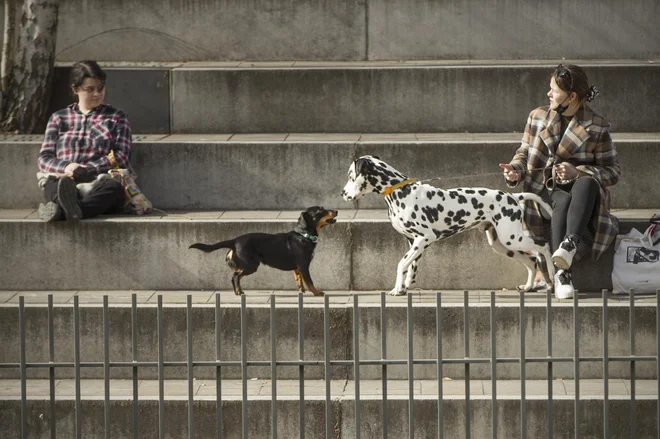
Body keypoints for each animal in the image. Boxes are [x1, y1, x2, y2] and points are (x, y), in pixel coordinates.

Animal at [189, 208, 336, 298]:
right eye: (320, 210)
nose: (336, 211)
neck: (304, 235)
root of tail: (234, 241)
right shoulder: (304, 266)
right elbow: (310, 281)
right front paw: (317, 292)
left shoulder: (296, 269)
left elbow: (299, 280)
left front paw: (301, 291)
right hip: (251, 265)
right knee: (235, 276)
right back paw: (239, 292)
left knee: (233, 277)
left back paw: (238, 291)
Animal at [342, 156, 556, 298]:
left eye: (351, 176)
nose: (343, 193)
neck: (400, 192)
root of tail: (513, 196)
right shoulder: (413, 242)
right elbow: (411, 267)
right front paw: (404, 287)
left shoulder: (424, 238)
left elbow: (401, 264)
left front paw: (396, 289)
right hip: (502, 245)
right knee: (531, 260)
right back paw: (528, 287)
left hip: (511, 238)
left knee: (544, 246)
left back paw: (553, 276)